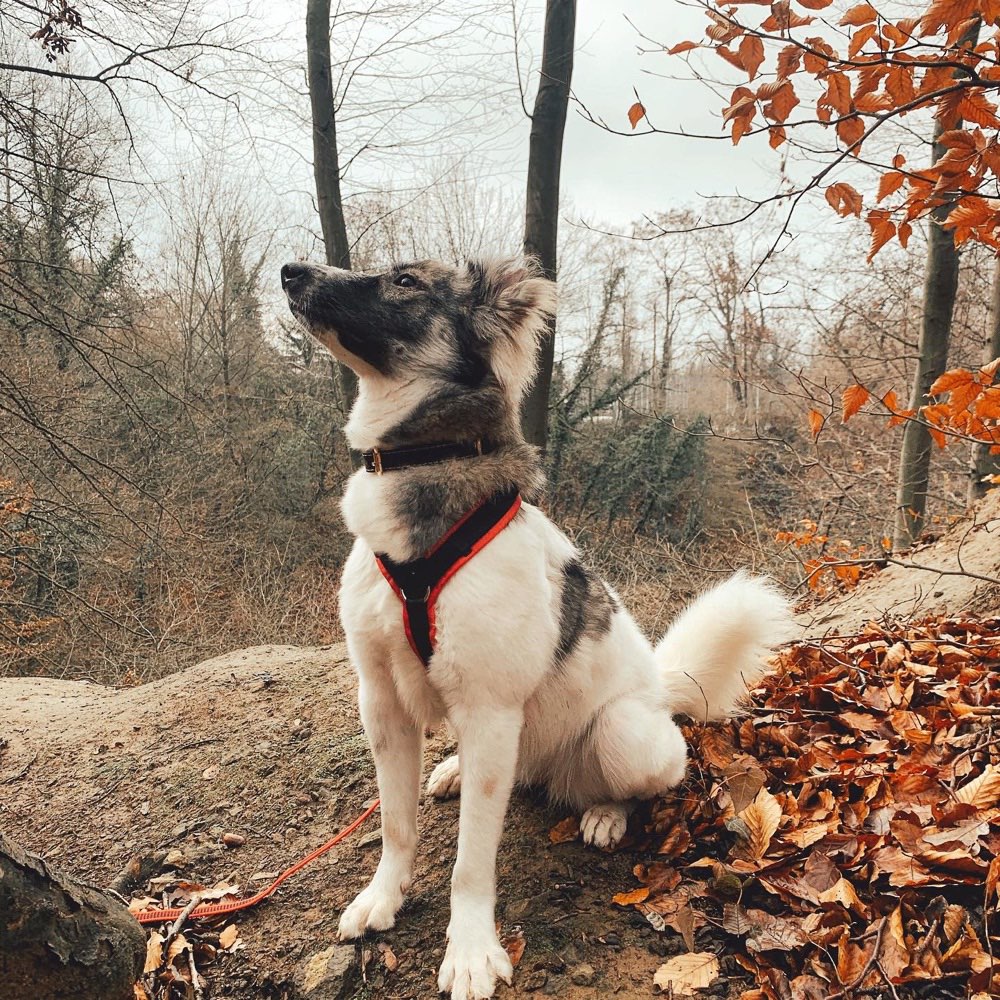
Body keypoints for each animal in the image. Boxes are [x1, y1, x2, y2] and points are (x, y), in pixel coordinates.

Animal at [284, 256, 796, 1000]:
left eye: (406, 280)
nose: (291, 271)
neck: (428, 463)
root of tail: (659, 685)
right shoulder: (380, 702)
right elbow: (396, 825)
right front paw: (383, 896)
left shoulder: (490, 709)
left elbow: (470, 863)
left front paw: (471, 950)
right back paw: (455, 769)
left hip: (624, 734)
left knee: (637, 789)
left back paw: (605, 813)